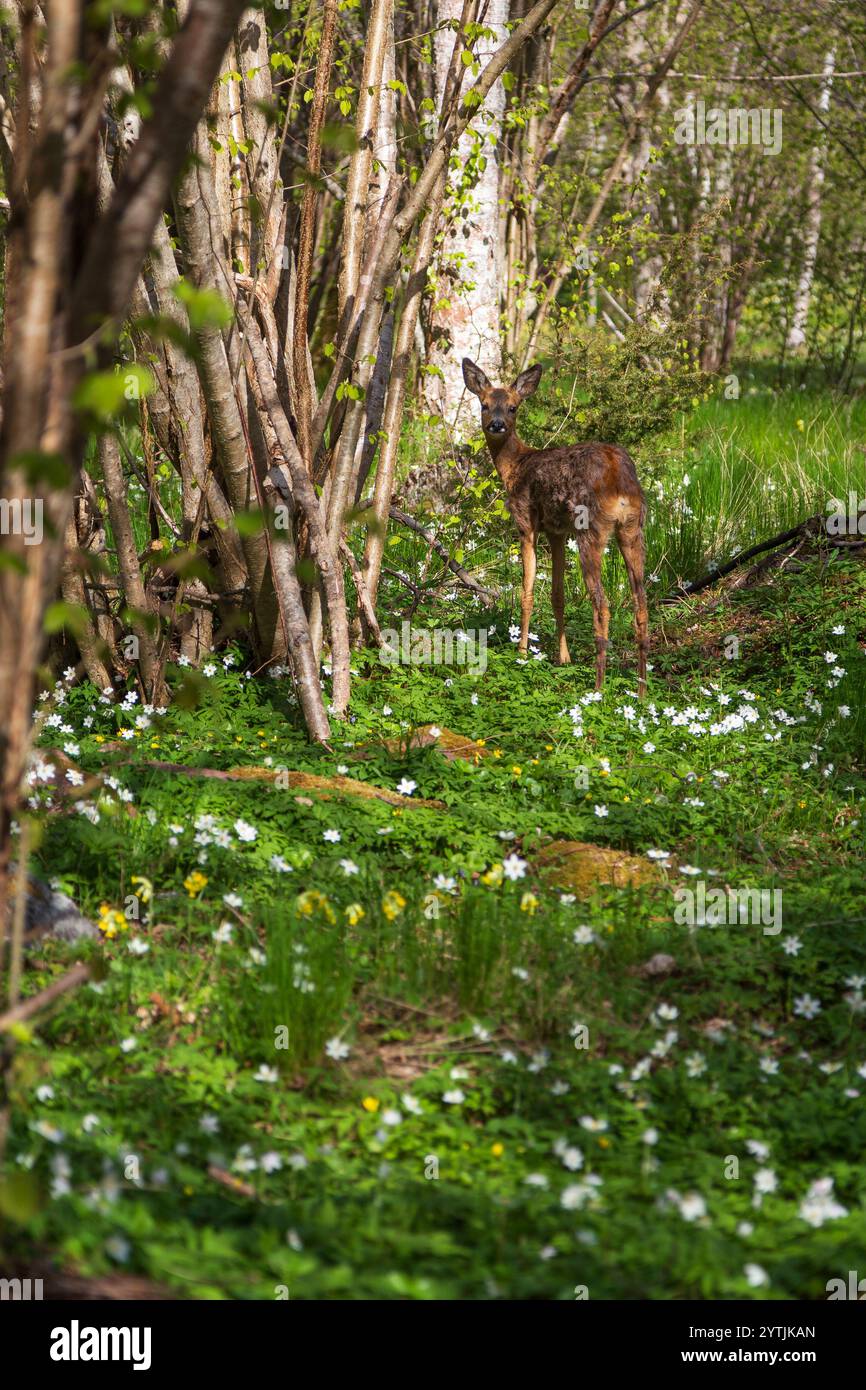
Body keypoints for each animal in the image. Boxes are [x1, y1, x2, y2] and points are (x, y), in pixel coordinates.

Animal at [462, 358, 649, 696]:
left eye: (513, 407)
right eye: (484, 405)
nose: (497, 425)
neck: (515, 467)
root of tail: (618, 474)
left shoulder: (526, 522)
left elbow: (527, 592)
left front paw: (522, 653)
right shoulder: (558, 531)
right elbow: (557, 595)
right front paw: (564, 658)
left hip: (591, 528)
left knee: (602, 603)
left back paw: (598, 687)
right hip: (633, 528)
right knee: (641, 603)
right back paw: (641, 692)